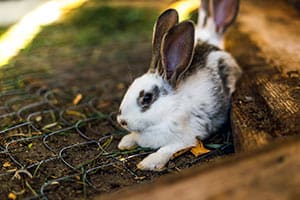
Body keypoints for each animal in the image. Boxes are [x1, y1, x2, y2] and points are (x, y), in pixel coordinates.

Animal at [116, 0, 240, 172]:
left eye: (147, 98)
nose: (121, 121)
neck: (169, 110)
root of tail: (210, 37)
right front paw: (125, 142)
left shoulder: (186, 139)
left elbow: (166, 149)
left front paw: (149, 162)